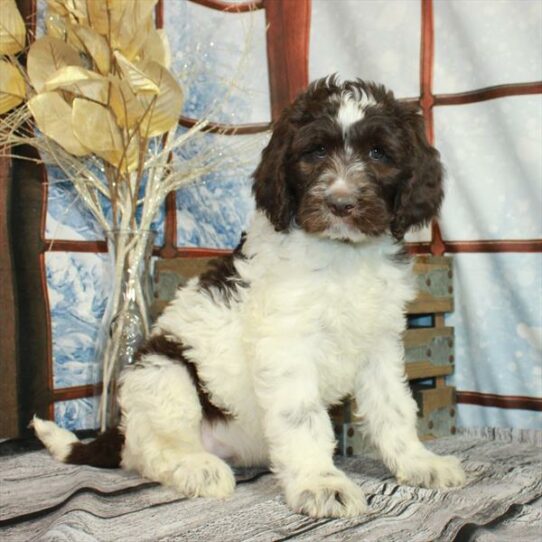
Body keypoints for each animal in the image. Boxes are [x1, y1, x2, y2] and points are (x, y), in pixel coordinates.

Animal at [34, 75, 468, 520]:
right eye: (316, 152)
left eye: (379, 153)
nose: (340, 203)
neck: (342, 255)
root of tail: (120, 428)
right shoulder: (287, 343)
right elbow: (303, 417)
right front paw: (321, 483)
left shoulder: (378, 343)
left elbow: (394, 409)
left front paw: (419, 463)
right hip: (163, 371)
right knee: (150, 451)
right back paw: (199, 468)